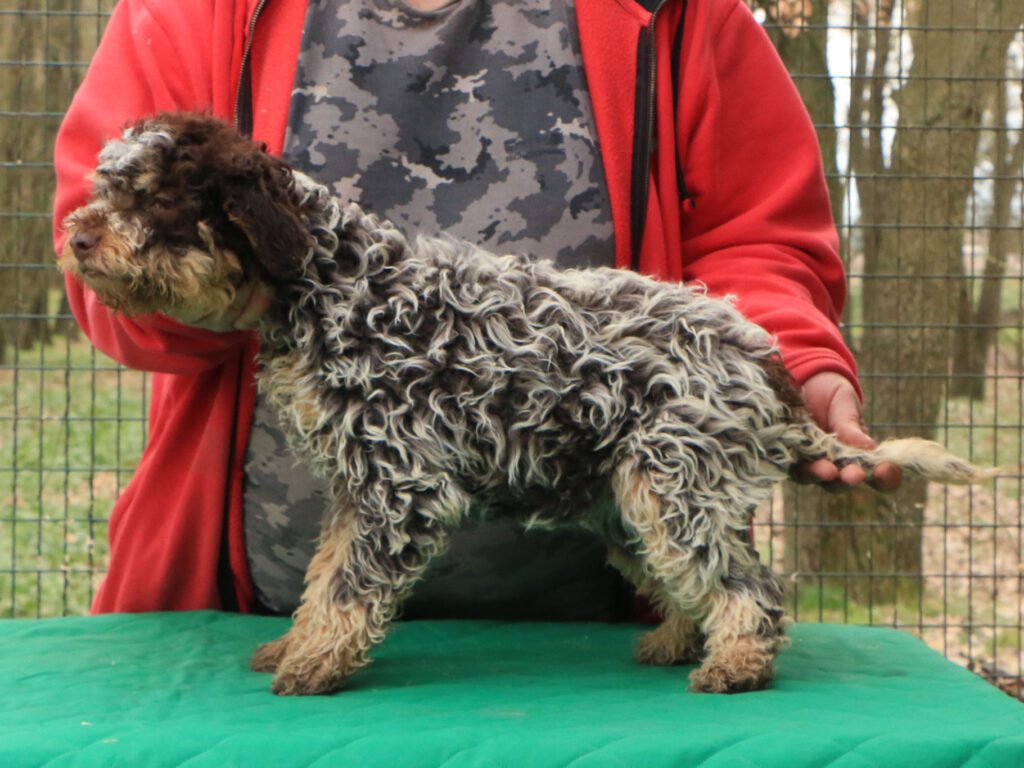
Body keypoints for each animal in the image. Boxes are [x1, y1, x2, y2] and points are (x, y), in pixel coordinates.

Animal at [59, 112, 995, 696]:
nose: (77, 236)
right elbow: (325, 575)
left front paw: (315, 663)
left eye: (159, 197)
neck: (340, 282)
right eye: (108, 187)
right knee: (696, 580)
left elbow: (350, 588)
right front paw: (297, 642)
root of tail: (765, 366)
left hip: (673, 484)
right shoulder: (357, 489)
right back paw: (679, 640)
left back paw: (734, 663)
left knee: (746, 585)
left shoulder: (399, 486)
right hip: (627, 501)